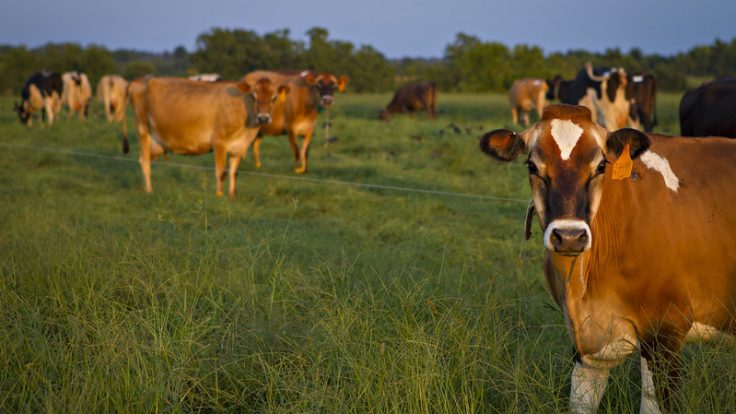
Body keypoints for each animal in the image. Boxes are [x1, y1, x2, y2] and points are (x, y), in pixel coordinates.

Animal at [127, 76, 289, 197]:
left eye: (274, 98)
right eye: (254, 96)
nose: (263, 118)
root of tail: (141, 79)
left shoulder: (239, 146)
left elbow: (234, 172)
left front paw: (232, 195)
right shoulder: (219, 142)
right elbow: (221, 172)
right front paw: (219, 195)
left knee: (143, 159)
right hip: (143, 129)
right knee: (145, 161)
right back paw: (149, 190)